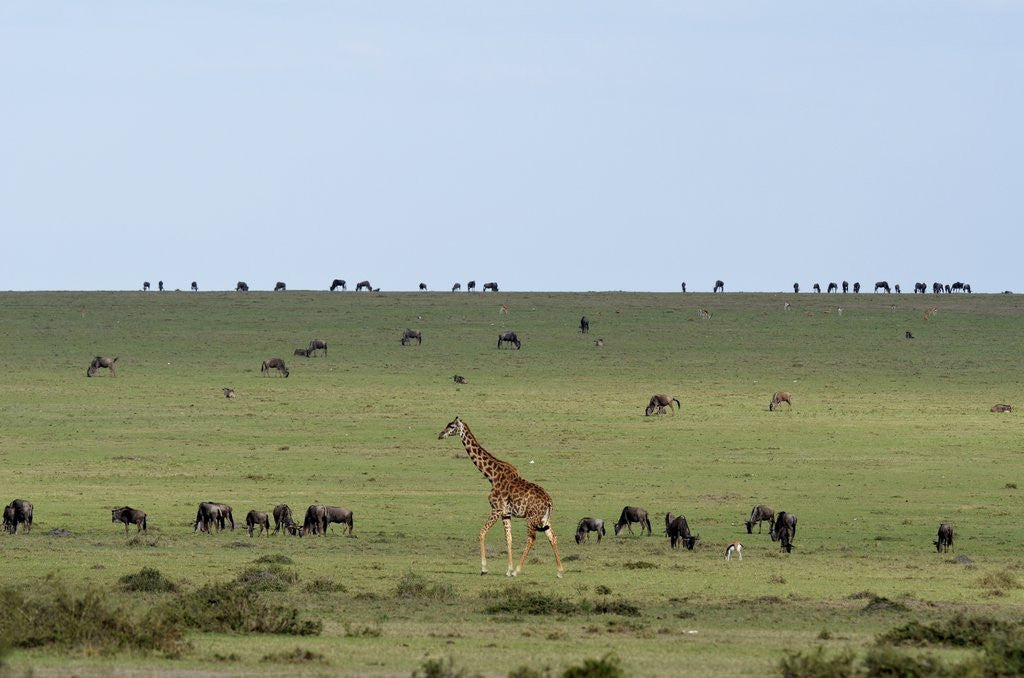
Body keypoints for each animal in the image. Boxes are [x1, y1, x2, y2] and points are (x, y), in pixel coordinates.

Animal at [436, 419, 565, 577]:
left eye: (452, 426)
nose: (440, 435)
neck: (491, 476)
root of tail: (549, 502)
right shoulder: (505, 513)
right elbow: (508, 539)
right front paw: (508, 569)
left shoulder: (496, 509)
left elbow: (481, 533)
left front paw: (484, 569)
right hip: (544, 518)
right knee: (552, 537)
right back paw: (559, 571)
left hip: (531, 517)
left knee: (531, 539)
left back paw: (518, 570)